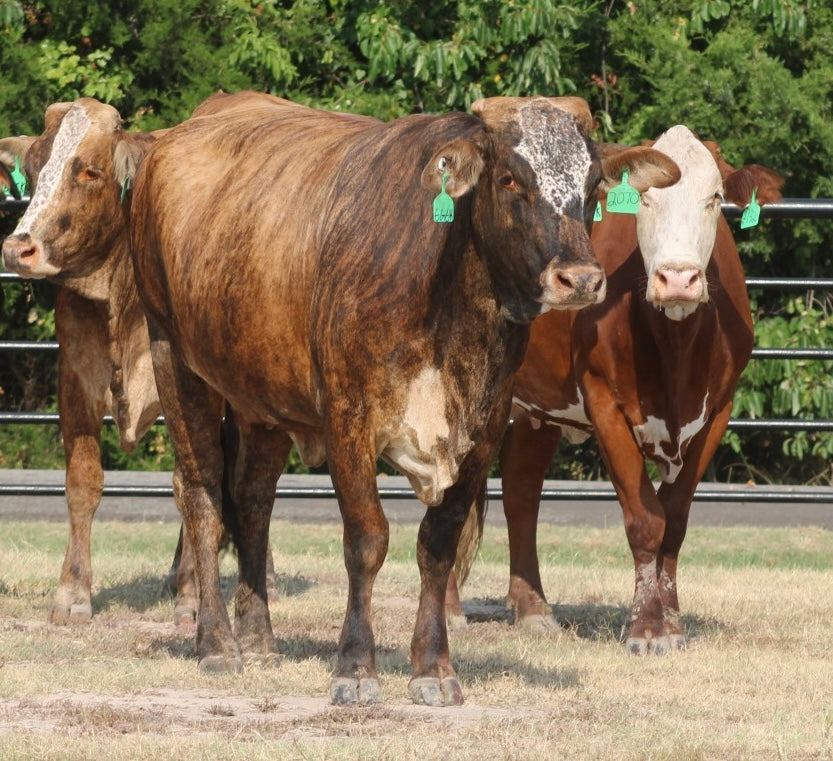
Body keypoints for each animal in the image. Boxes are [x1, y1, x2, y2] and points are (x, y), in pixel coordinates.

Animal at [127, 91, 679, 705]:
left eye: (592, 184)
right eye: (510, 178)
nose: (579, 279)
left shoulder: (484, 428)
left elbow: (437, 545)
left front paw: (433, 669)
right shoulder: (348, 417)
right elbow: (367, 540)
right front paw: (355, 668)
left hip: (260, 395)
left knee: (251, 500)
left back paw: (259, 637)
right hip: (176, 361)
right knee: (200, 496)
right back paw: (218, 645)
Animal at [451, 125, 784, 654]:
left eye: (714, 198)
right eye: (644, 199)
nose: (678, 279)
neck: (676, 349)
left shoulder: (718, 411)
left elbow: (675, 520)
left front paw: (671, 623)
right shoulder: (604, 400)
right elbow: (646, 520)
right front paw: (646, 629)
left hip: (537, 407)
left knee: (522, 489)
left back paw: (534, 610)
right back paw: (449, 612)